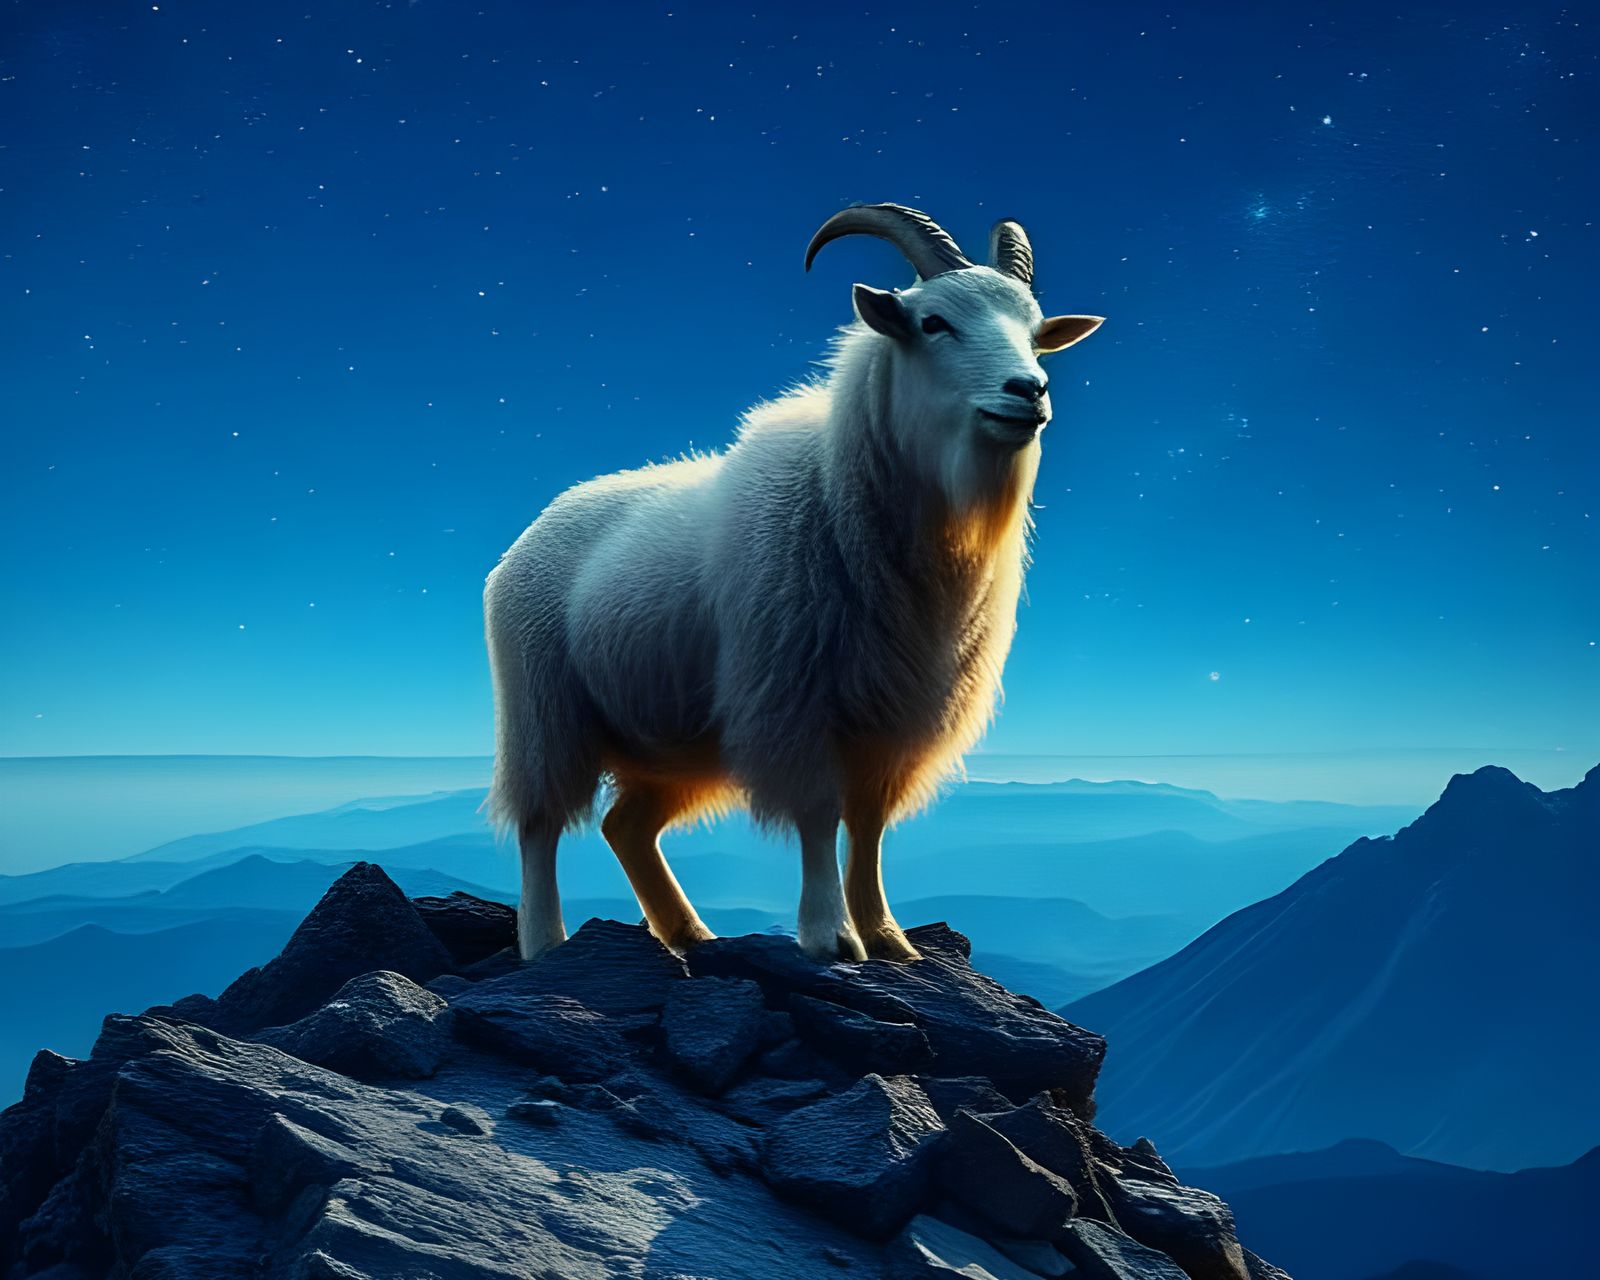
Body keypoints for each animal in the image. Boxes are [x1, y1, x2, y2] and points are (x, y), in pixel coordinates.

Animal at [485, 204, 1103, 962]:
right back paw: (547, 941)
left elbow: (868, 824)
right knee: (539, 824)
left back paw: (689, 934)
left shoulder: (893, 722)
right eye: (934, 322)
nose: (1029, 393)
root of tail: (532, 531)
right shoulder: (794, 701)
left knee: (625, 826)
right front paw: (831, 935)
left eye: (1038, 336)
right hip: (545, 713)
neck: (844, 484)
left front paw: (888, 937)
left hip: (673, 744)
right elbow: (819, 813)